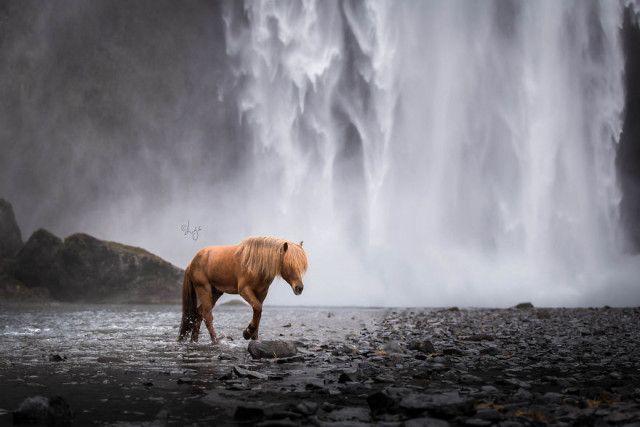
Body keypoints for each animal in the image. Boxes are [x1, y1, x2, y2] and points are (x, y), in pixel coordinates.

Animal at [178, 237, 308, 344]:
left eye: (302, 266)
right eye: (289, 265)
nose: (299, 288)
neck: (255, 264)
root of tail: (192, 263)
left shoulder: (262, 292)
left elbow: (258, 313)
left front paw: (254, 337)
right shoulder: (245, 290)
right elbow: (258, 308)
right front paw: (247, 332)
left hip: (215, 293)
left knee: (199, 313)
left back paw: (194, 340)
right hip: (204, 290)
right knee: (207, 315)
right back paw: (215, 341)